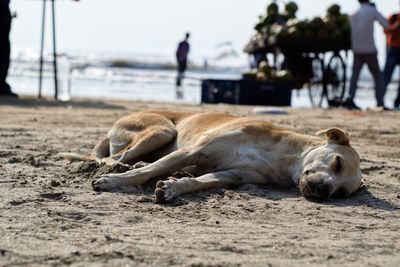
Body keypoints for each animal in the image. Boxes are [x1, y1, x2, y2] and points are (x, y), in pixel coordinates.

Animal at [61, 111, 362, 203]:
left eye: (341, 194)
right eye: (337, 163)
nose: (323, 191)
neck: (283, 156)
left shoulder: (234, 175)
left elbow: (201, 181)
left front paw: (173, 188)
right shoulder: (193, 150)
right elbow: (145, 172)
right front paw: (114, 182)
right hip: (162, 129)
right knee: (116, 159)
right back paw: (114, 168)